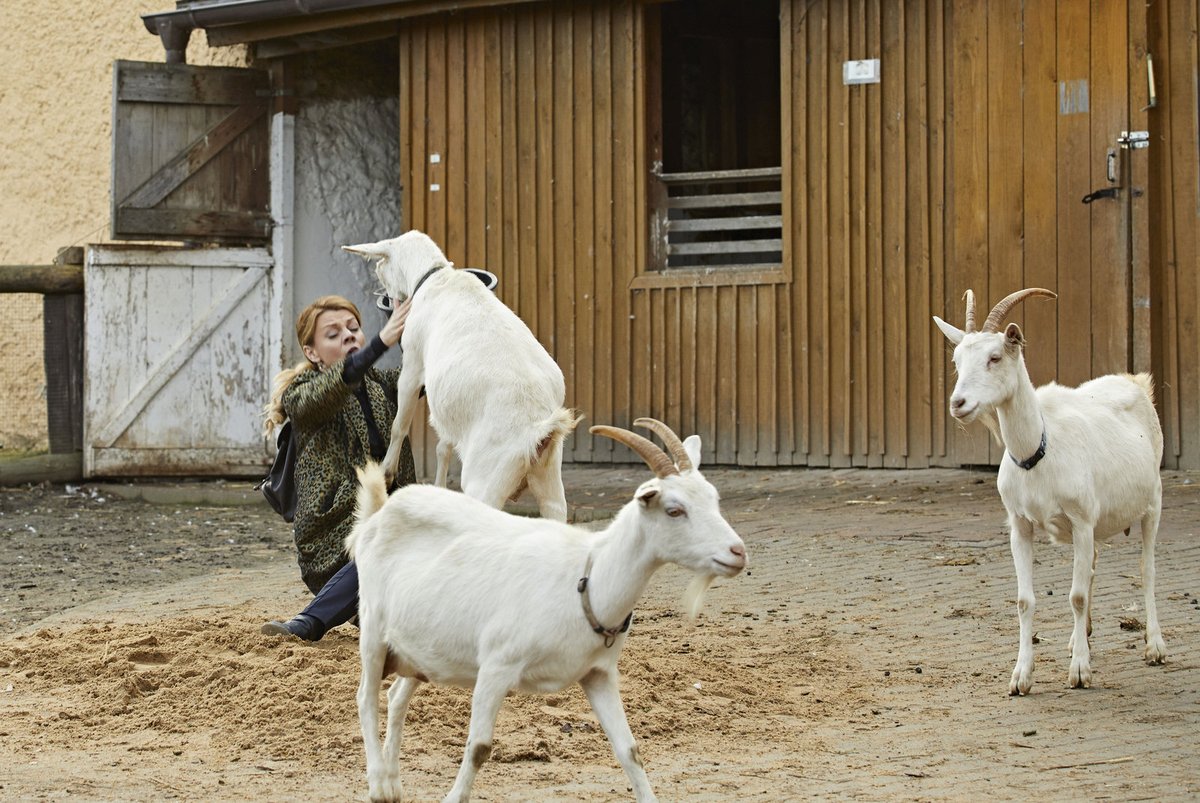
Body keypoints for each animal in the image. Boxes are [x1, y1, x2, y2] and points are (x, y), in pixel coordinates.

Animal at [343, 230, 580, 520]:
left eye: (380, 264)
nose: (385, 293)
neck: (437, 277)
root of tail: (537, 431)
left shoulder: (412, 364)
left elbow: (400, 424)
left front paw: (387, 473)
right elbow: (443, 446)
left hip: (485, 480)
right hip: (549, 479)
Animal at [343, 417, 744, 796]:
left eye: (713, 499)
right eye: (674, 510)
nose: (737, 552)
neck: (586, 578)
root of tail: (379, 514)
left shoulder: (598, 675)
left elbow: (629, 750)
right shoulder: (496, 666)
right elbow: (479, 748)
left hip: (421, 650)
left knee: (395, 698)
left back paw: (394, 783)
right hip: (374, 630)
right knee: (365, 698)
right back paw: (378, 785)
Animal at [931, 289, 1166, 696]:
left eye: (995, 357)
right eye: (957, 360)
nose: (958, 404)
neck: (1038, 449)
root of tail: (1134, 381)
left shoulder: (1082, 520)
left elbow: (1076, 595)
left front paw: (1080, 673)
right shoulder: (1020, 525)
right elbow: (1025, 600)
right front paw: (1021, 676)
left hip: (1152, 501)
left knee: (1146, 569)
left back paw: (1154, 647)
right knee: (1092, 566)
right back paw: (1079, 639)